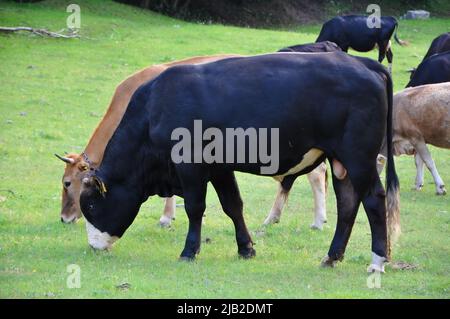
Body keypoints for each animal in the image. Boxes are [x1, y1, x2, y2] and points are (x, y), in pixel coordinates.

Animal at [79, 52, 400, 272]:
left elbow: (195, 207)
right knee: (347, 203)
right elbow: (232, 205)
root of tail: (361, 62)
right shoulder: (219, 167)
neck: (154, 108)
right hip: (341, 161)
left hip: (358, 158)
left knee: (374, 200)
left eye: (91, 206)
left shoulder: (189, 162)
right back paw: (331, 257)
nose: (93, 247)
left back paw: (377, 261)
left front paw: (189, 251)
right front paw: (246, 248)